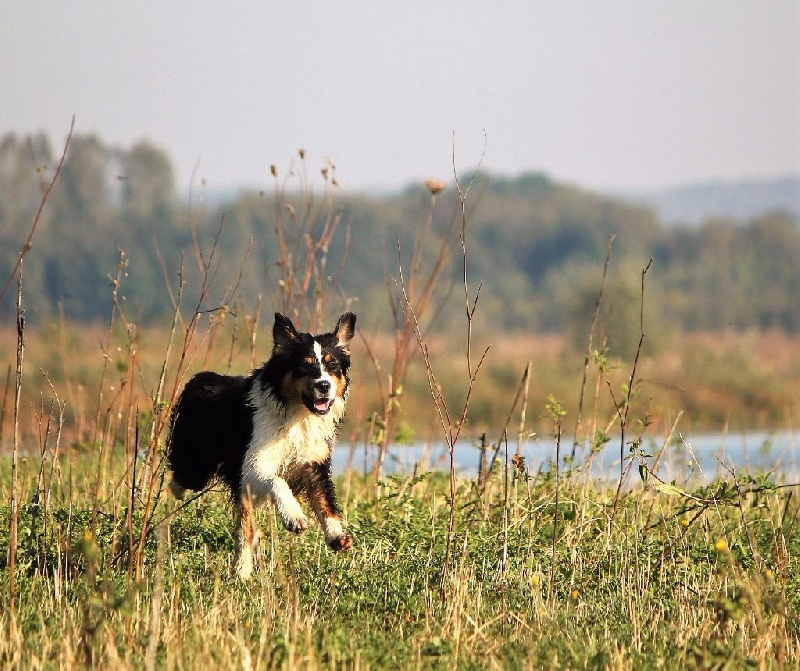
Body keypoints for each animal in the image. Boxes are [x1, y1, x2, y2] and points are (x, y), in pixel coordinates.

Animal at [166, 312, 356, 580]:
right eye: (304, 365)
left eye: (332, 366)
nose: (324, 386)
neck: (297, 414)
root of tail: (200, 378)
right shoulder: (252, 464)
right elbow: (277, 482)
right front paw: (294, 516)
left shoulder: (315, 465)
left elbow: (326, 502)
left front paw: (336, 534)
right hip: (195, 467)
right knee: (181, 480)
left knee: (244, 528)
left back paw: (242, 571)